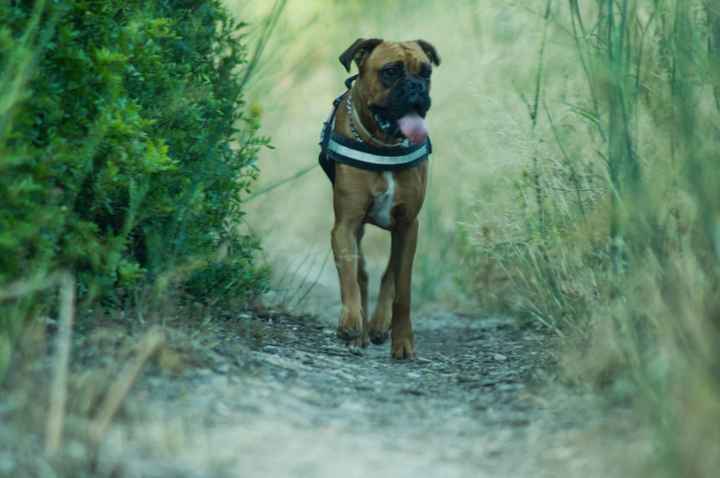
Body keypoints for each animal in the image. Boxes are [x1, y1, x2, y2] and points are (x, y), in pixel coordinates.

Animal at [324, 39, 442, 358]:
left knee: (390, 274)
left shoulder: (408, 225)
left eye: (426, 72)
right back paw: (362, 332)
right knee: (362, 273)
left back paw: (378, 324)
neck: (383, 146)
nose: (416, 87)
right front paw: (351, 321)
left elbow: (402, 289)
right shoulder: (346, 226)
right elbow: (350, 275)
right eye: (391, 71)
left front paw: (402, 340)